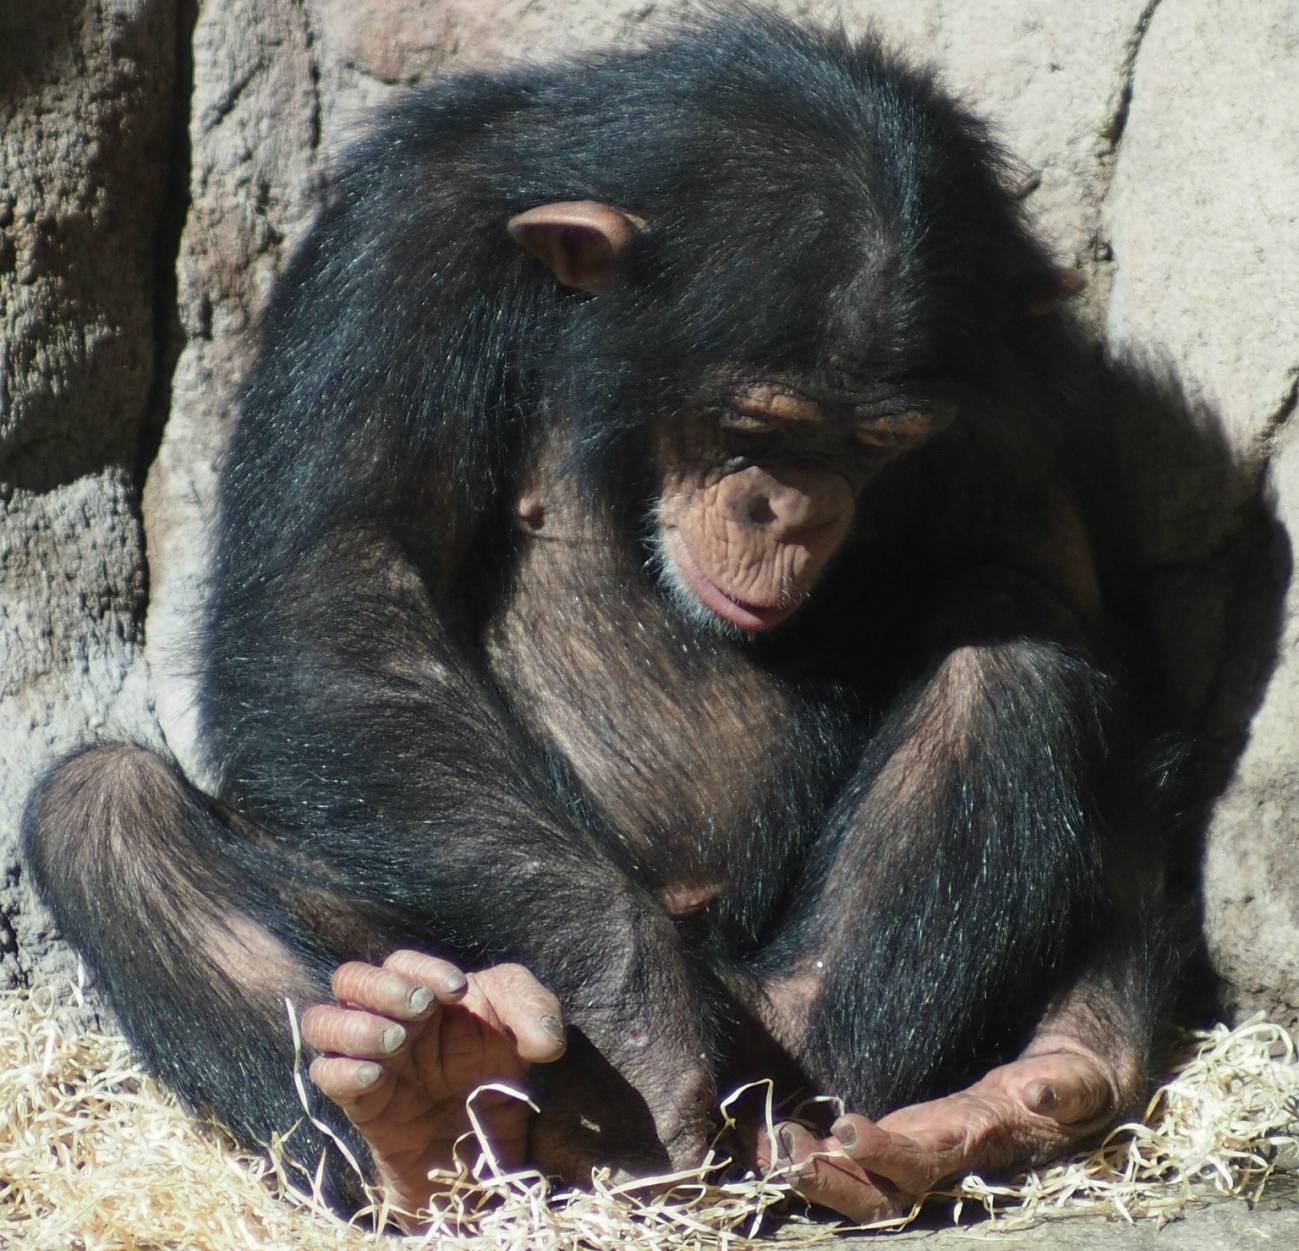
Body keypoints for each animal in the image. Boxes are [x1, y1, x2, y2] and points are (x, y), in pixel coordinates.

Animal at [20, 4, 1179, 1226]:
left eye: (877, 443)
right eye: (754, 426)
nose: (791, 509)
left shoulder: (1020, 369)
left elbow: (1086, 622)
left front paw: (1046, 1081)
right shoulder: (399, 246)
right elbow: (339, 581)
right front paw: (641, 1016)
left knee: (1012, 643)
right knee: (107, 812)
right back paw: (428, 1115)